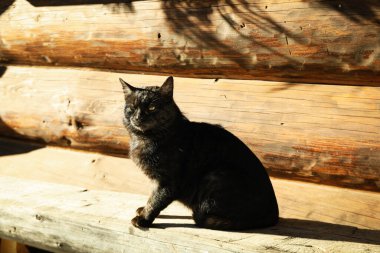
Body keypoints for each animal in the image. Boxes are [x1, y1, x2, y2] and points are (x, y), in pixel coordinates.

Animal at [120, 76, 278, 230]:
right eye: (132, 108)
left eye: (152, 107)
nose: (138, 117)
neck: (144, 138)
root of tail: (273, 215)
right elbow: (151, 196)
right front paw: (143, 210)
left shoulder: (168, 181)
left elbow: (155, 201)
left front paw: (143, 219)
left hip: (214, 176)